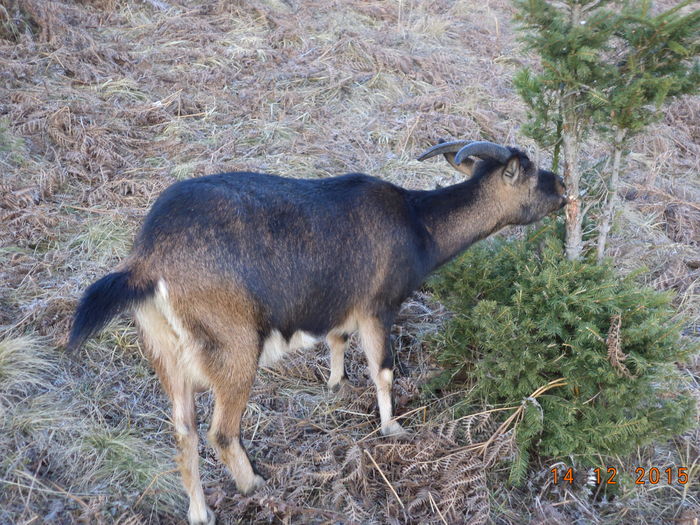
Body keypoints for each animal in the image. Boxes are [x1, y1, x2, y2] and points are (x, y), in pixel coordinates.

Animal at [65, 140, 568, 524]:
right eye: (529, 171)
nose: (563, 187)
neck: (418, 224)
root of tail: (148, 262)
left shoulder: (342, 307)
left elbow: (337, 339)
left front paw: (335, 384)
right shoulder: (377, 306)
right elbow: (383, 368)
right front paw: (393, 428)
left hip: (164, 351)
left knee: (183, 431)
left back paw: (201, 513)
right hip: (234, 344)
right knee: (221, 431)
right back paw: (255, 483)